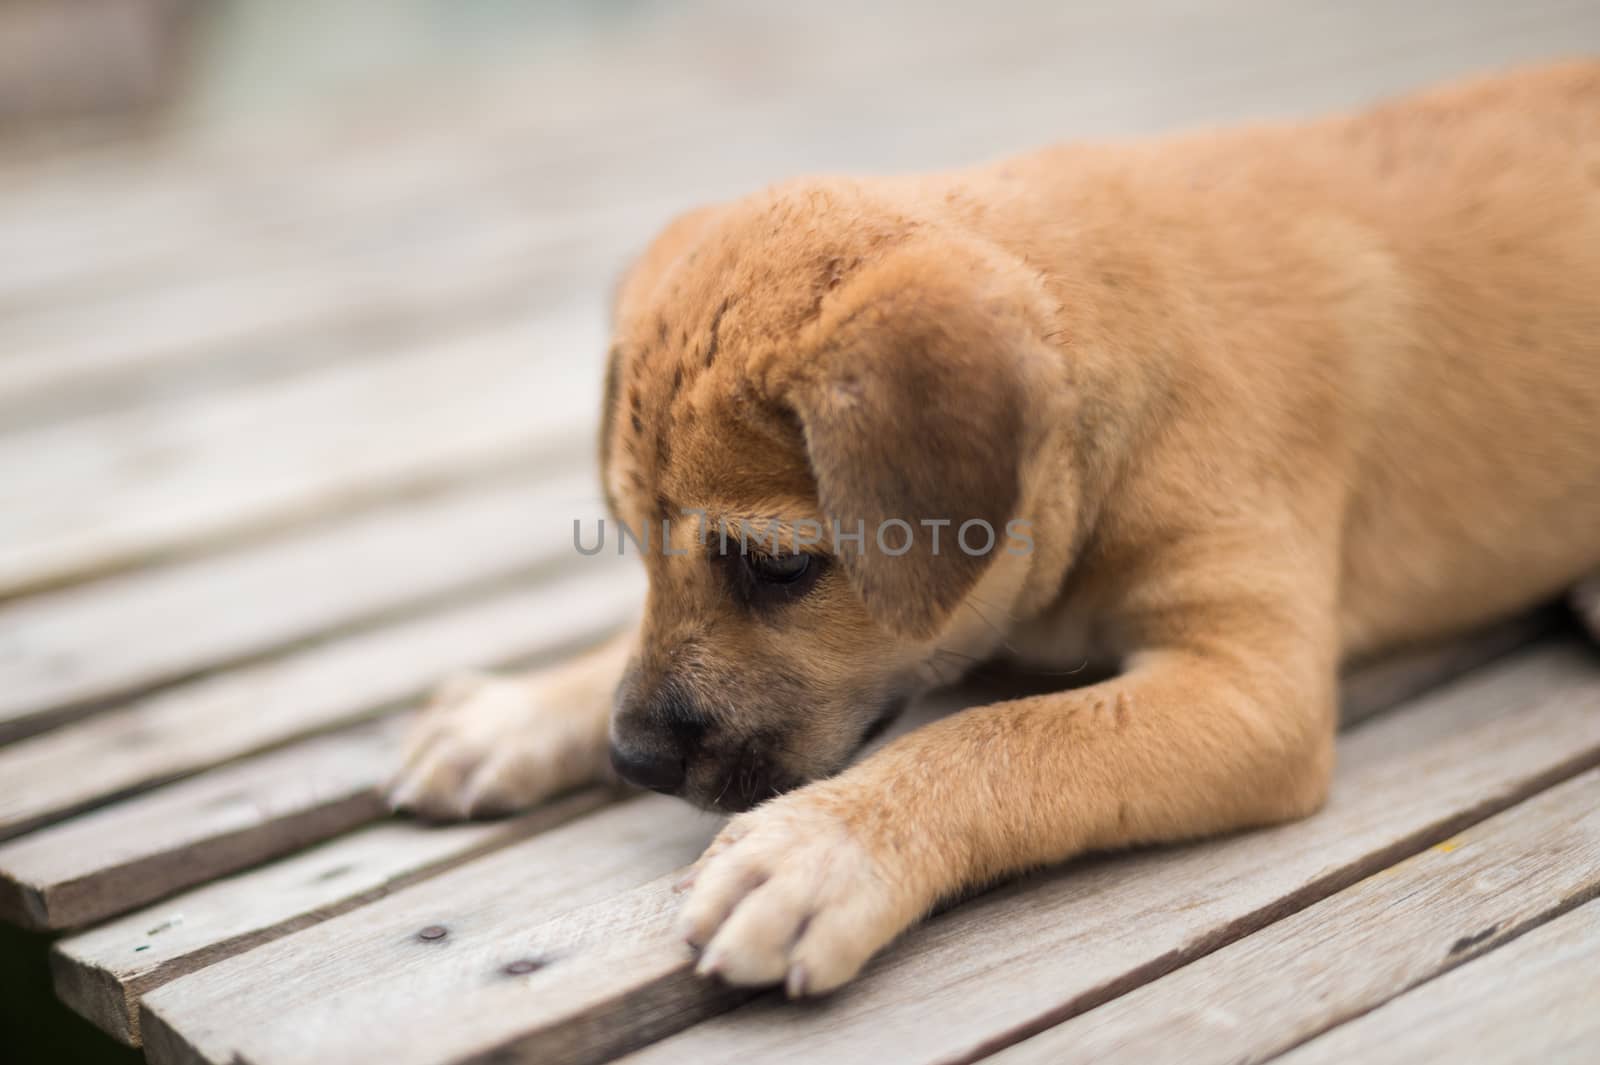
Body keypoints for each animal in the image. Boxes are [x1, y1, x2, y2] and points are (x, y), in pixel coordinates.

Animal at [390, 62, 1600, 997]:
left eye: (778, 570)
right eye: (632, 546)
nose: (631, 756)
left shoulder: (1251, 685)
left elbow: (1005, 739)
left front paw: (825, 847)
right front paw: (519, 710)